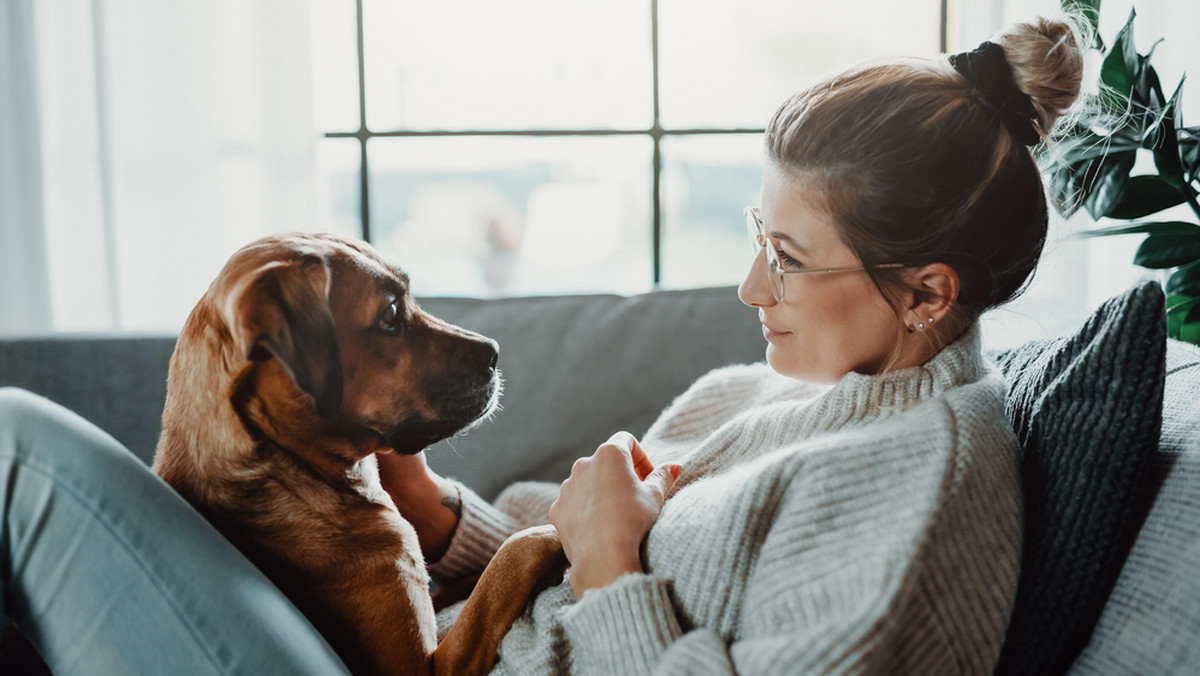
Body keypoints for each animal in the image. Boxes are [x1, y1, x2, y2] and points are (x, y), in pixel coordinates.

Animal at [152, 234, 564, 676]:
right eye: (391, 313)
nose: (495, 352)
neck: (291, 471)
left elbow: (474, 579)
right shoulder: (424, 666)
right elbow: (513, 554)